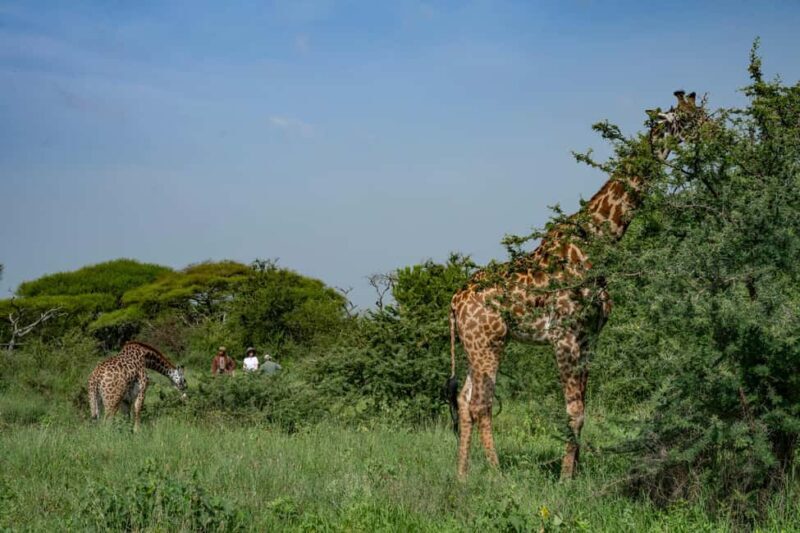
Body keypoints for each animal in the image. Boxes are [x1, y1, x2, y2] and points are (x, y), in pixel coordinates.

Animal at [448, 91, 705, 479]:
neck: (600, 239)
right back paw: (497, 474)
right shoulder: (565, 336)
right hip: (487, 342)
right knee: (481, 404)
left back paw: (463, 476)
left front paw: (576, 471)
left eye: (704, 113)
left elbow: (584, 406)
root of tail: (453, 302)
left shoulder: (590, 336)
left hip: (475, 344)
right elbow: (574, 411)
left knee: (464, 400)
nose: (716, 132)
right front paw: (565, 478)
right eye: (687, 120)